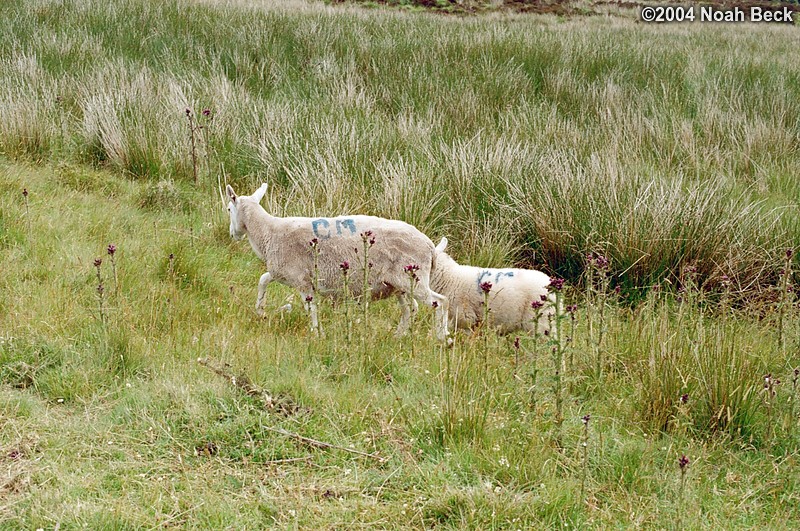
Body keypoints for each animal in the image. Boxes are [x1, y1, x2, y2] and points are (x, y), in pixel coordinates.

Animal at [225, 183, 450, 340]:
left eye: (228, 209)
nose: (232, 234)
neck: (267, 233)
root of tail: (431, 247)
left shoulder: (302, 280)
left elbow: (311, 308)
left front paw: (317, 334)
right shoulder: (282, 272)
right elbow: (263, 279)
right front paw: (260, 310)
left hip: (414, 278)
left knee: (440, 302)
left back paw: (442, 338)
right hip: (398, 285)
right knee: (411, 308)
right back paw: (398, 336)